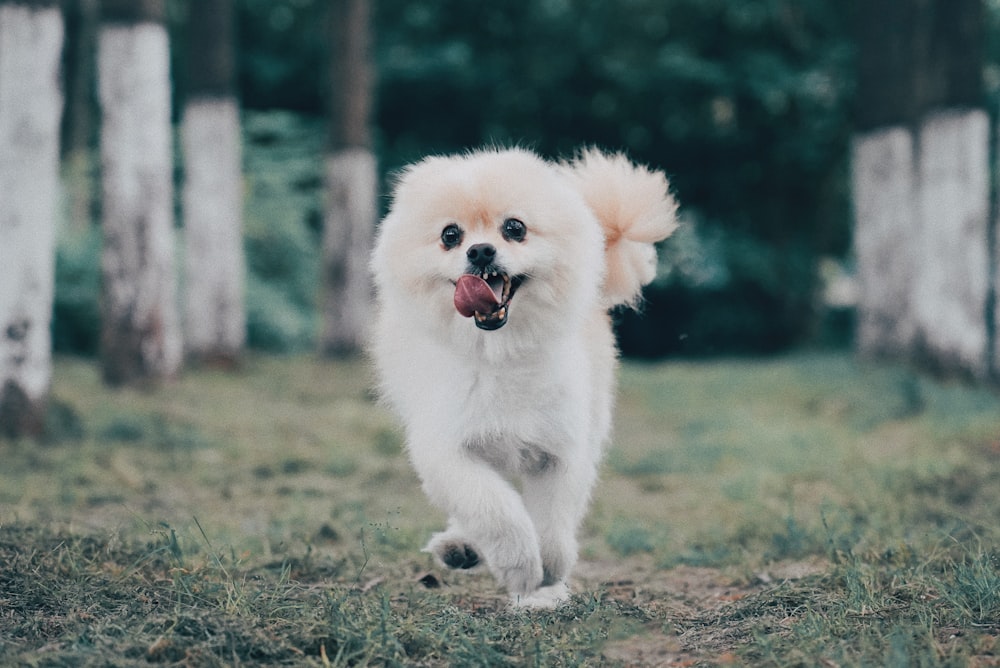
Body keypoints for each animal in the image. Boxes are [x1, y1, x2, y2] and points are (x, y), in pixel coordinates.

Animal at [370, 149, 680, 608]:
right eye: (450, 235)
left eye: (514, 228)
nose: (481, 251)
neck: (501, 354)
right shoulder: (447, 448)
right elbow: (493, 508)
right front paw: (519, 565)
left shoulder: (561, 448)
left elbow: (552, 521)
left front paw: (548, 574)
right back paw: (461, 545)